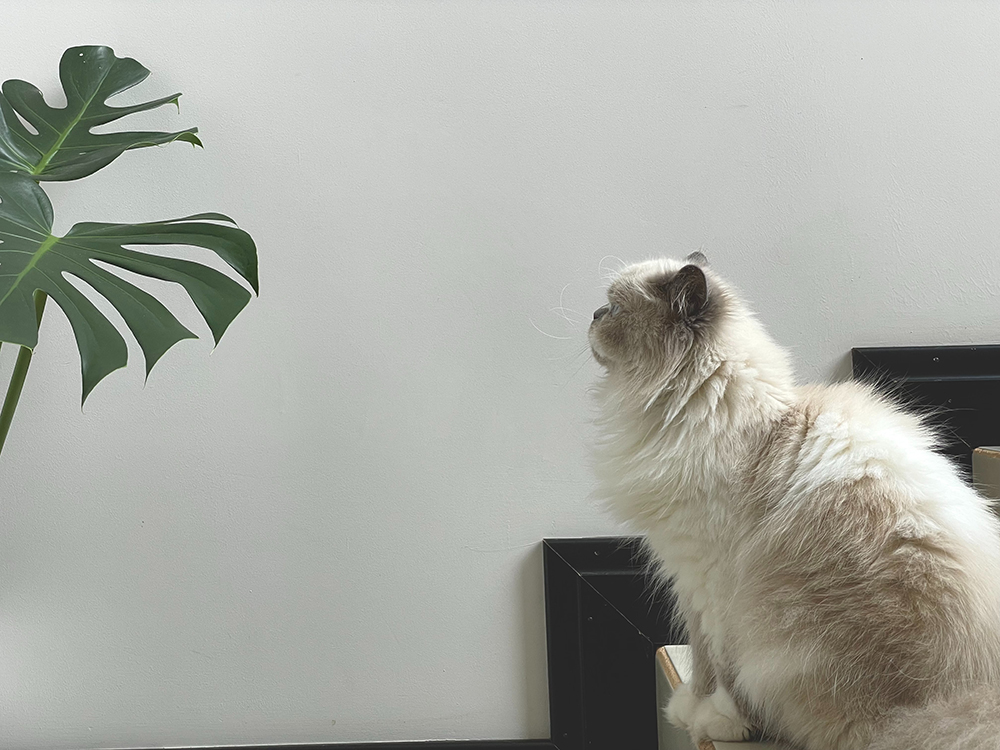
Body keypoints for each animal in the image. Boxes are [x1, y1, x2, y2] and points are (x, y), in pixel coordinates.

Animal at [588, 254, 1000, 750]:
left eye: (613, 308)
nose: (592, 315)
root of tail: (952, 706)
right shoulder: (689, 578)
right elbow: (702, 660)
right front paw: (689, 709)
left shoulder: (710, 581)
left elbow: (719, 670)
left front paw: (714, 720)